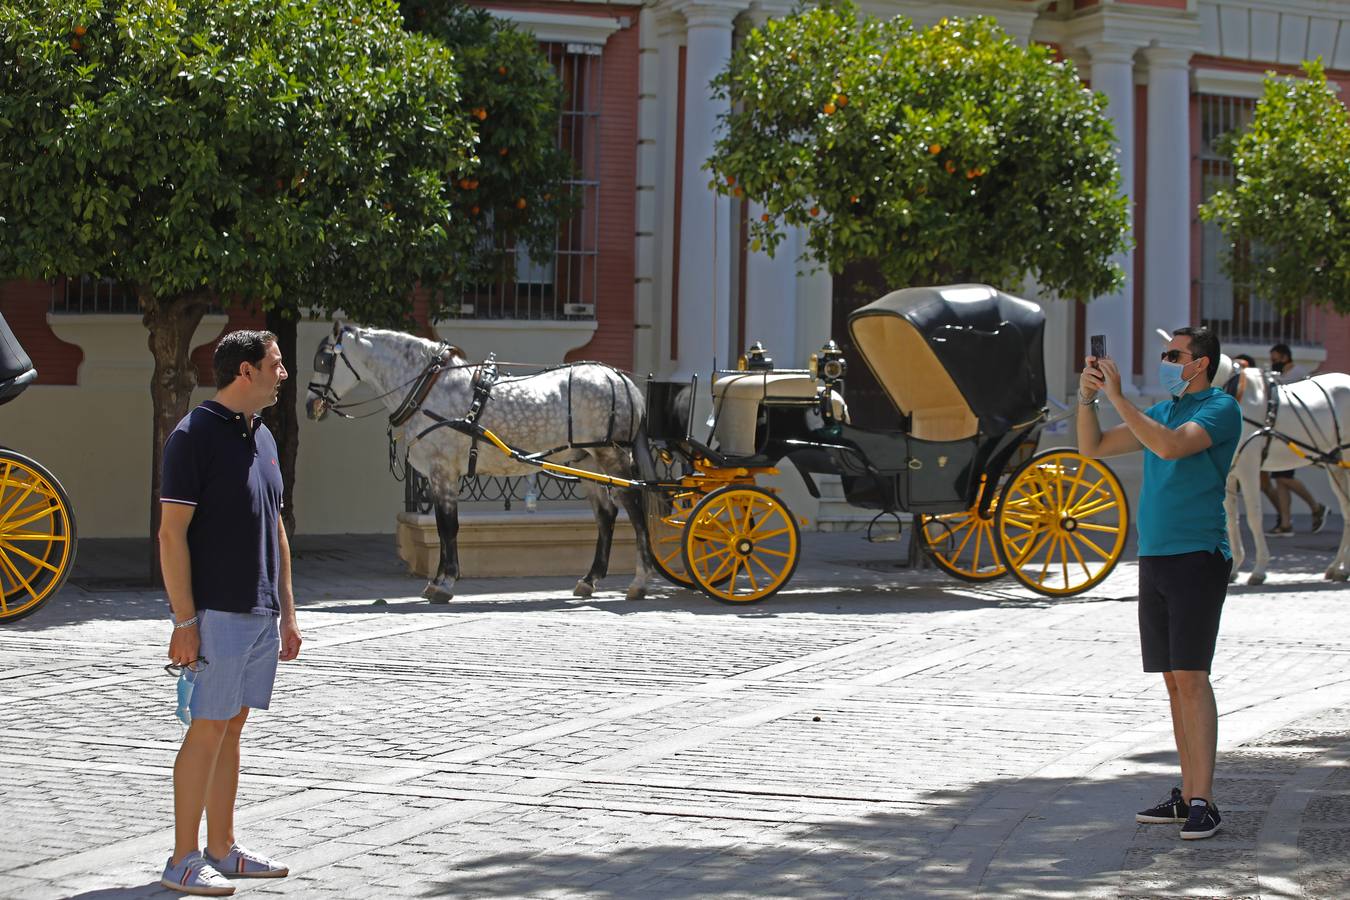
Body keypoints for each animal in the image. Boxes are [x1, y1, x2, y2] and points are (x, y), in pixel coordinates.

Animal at [306, 319, 653, 601]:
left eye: (323, 358)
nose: (311, 405)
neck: (428, 388)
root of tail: (620, 378)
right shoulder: (437, 475)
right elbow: (442, 526)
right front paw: (438, 579)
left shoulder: (443, 469)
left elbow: (448, 526)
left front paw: (445, 582)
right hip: (586, 461)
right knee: (606, 514)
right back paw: (590, 579)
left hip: (612, 456)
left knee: (635, 507)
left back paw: (641, 580)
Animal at [1215, 356, 1350, 588]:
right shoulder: (1230, 473)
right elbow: (1231, 520)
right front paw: (1234, 568)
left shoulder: (1248, 467)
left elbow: (1254, 517)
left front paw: (1259, 569)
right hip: (1335, 464)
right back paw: (1336, 568)